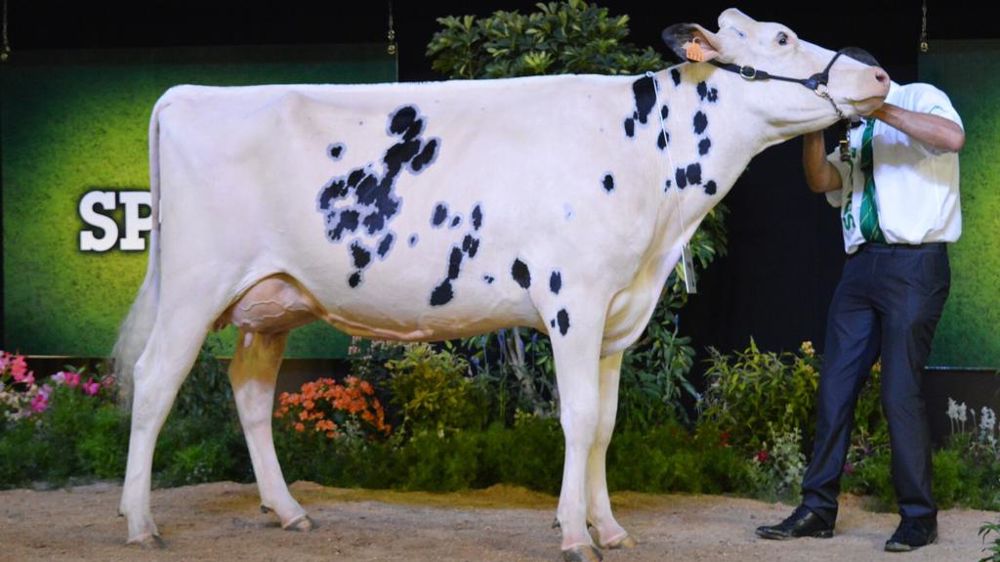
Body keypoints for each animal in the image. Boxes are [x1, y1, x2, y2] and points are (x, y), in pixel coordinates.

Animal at [113, 8, 889, 560]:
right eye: (783, 37)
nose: (879, 77)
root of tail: (187, 95)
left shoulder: (618, 317)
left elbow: (607, 424)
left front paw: (610, 529)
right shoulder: (575, 300)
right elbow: (579, 418)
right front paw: (575, 536)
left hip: (269, 301)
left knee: (250, 393)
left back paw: (289, 511)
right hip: (193, 285)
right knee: (154, 383)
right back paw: (140, 522)